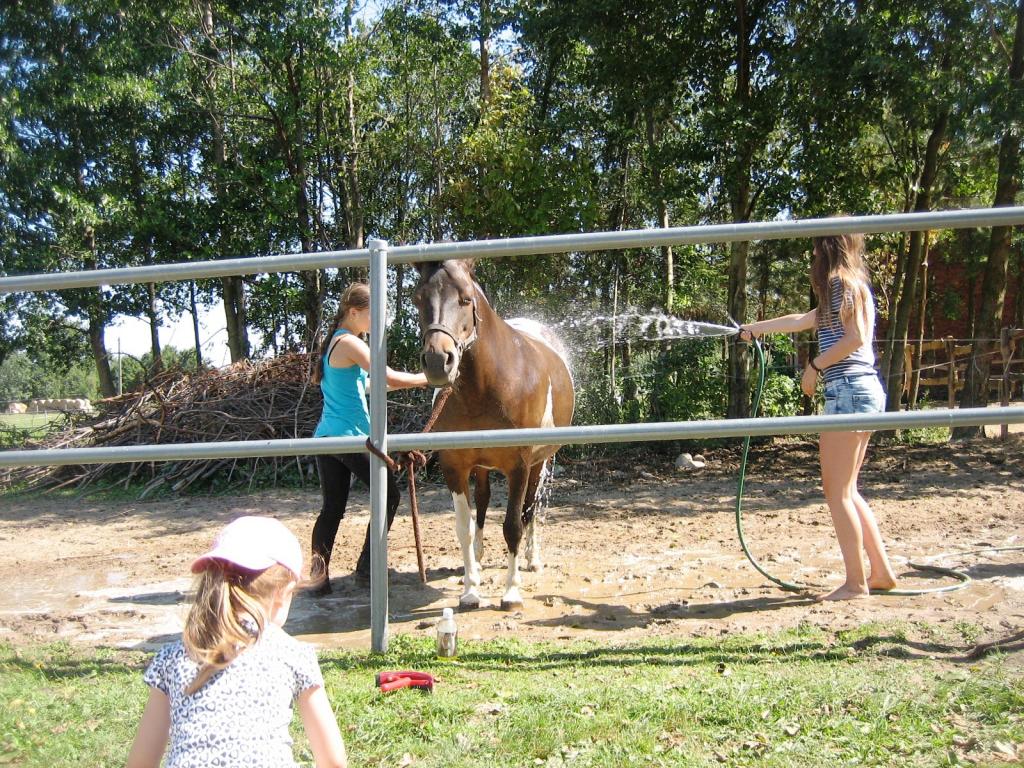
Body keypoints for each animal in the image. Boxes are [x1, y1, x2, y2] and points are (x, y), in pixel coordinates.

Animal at [413, 262, 577, 610]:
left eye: (465, 299)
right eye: (418, 299)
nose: (437, 360)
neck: (487, 386)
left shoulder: (519, 466)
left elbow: (513, 525)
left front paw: (511, 592)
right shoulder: (455, 467)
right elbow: (463, 527)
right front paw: (470, 590)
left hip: (539, 464)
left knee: (530, 508)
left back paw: (532, 559)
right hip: (482, 467)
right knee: (484, 502)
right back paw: (476, 559)